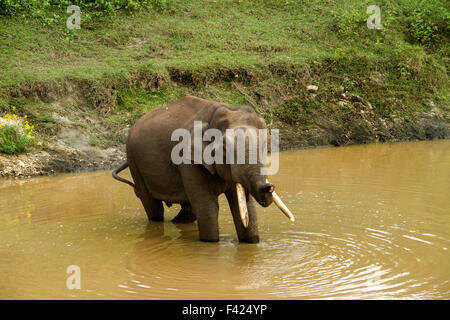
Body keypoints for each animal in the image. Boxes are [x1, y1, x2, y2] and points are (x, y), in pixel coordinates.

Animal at [114, 95, 294, 242]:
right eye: (225, 148)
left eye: (265, 147)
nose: (269, 187)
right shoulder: (187, 160)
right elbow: (208, 208)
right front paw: (210, 243)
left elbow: (244, 207)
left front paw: (251, 243)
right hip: (134, 161)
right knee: (153, 207)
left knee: (188, 210)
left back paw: (176, 222)